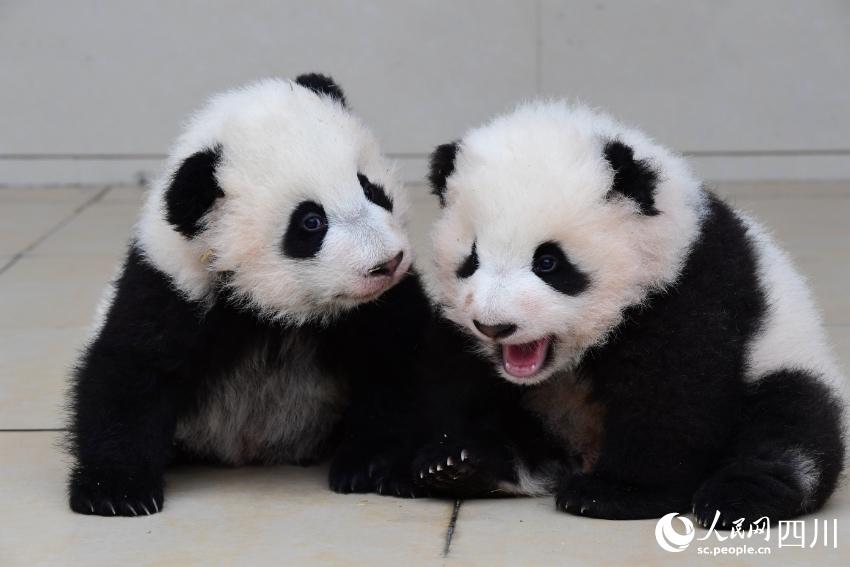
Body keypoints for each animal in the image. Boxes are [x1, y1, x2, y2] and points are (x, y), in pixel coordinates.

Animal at [67, 74, 431, 516]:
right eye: (311, 222)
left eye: (370, 188)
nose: (387, 263)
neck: (273, 308)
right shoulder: (173, 288)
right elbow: (131, 372)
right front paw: (115, 491)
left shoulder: (381, 305)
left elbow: (397, 362)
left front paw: (371, 467)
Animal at [416, 101, 847, 525]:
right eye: (471, 260)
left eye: (548, 262)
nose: (494, 325)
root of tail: (580, 455)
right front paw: (450, 454)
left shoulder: (689, 288)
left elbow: (670, 392)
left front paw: (615, 493)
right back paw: (469, 468)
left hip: (781, 359)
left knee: (789, 427)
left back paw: (738, 498)